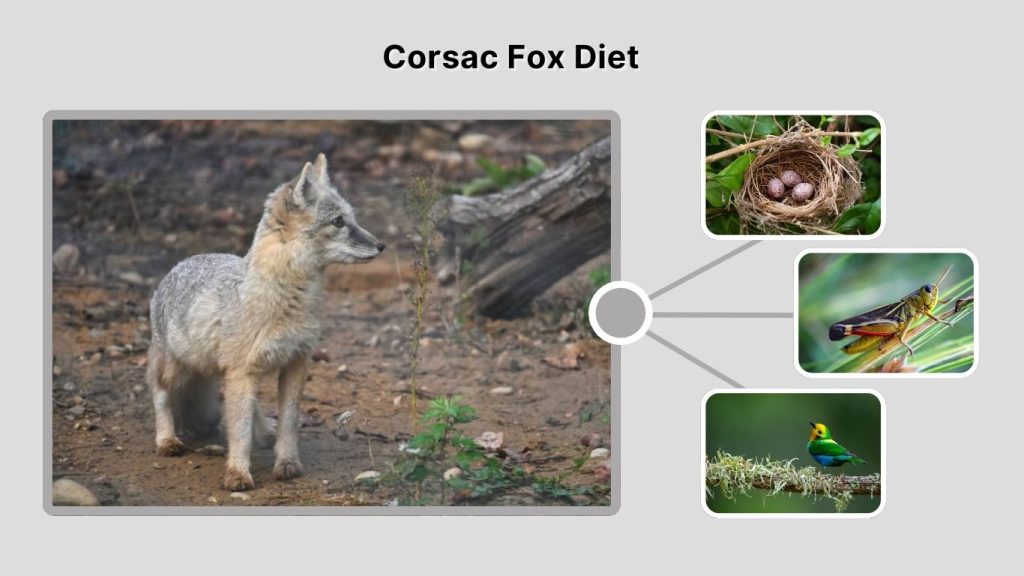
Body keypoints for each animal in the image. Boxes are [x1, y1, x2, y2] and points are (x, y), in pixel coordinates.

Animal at [146, 153, 385, 491]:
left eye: (352, 218)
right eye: (339, 222)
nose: (381, 245)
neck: (291, 299)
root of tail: (179, 264)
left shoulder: (295, 363)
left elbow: (288, 423)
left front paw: (287, 463)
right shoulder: (242, 370)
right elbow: (239, 430)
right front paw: (237, 473)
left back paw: (263, 432)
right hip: (178, 370)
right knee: (160, 393)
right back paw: (166, 440)